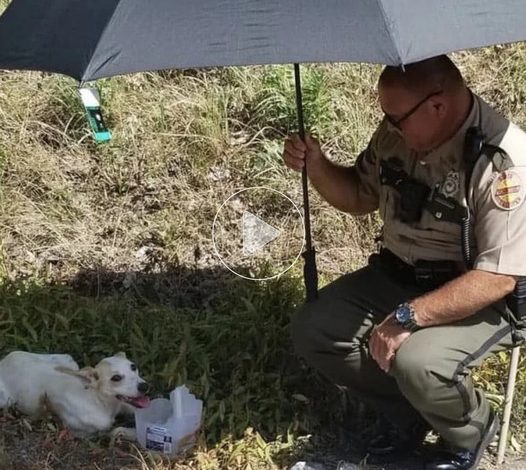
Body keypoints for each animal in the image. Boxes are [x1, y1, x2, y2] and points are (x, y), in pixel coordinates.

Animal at [0, 350, 151, 436]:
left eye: (133, 367)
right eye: (116, 378)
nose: (145, 386)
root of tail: (4, 361)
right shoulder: (86, 431)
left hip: (67, 360)